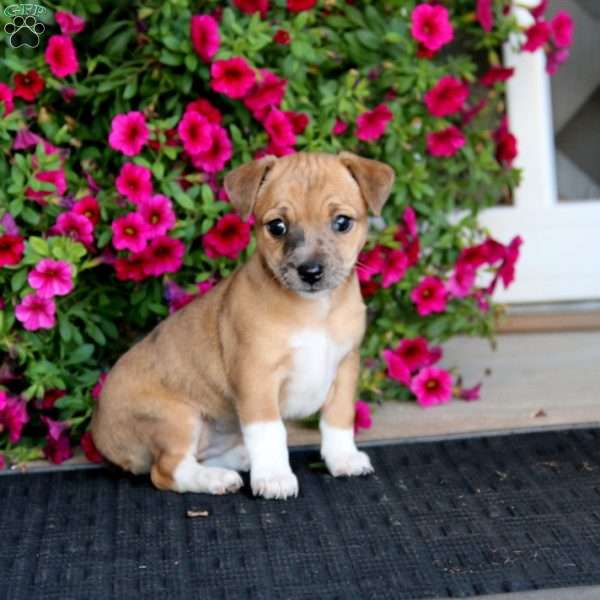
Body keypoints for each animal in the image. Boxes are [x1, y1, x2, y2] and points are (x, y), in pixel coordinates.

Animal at [91, 152, 394, 500]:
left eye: (342, 222)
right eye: (277, 226)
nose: (310, 271)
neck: (315, 310)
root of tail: (98, 428)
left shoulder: (345, 367)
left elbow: (338, 419)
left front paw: (342, 458)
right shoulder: (256, 377)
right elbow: (269, 431)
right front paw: (275, 476)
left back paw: (239, 460)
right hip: (176, 418)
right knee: (167, 470)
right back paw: (217, 479)